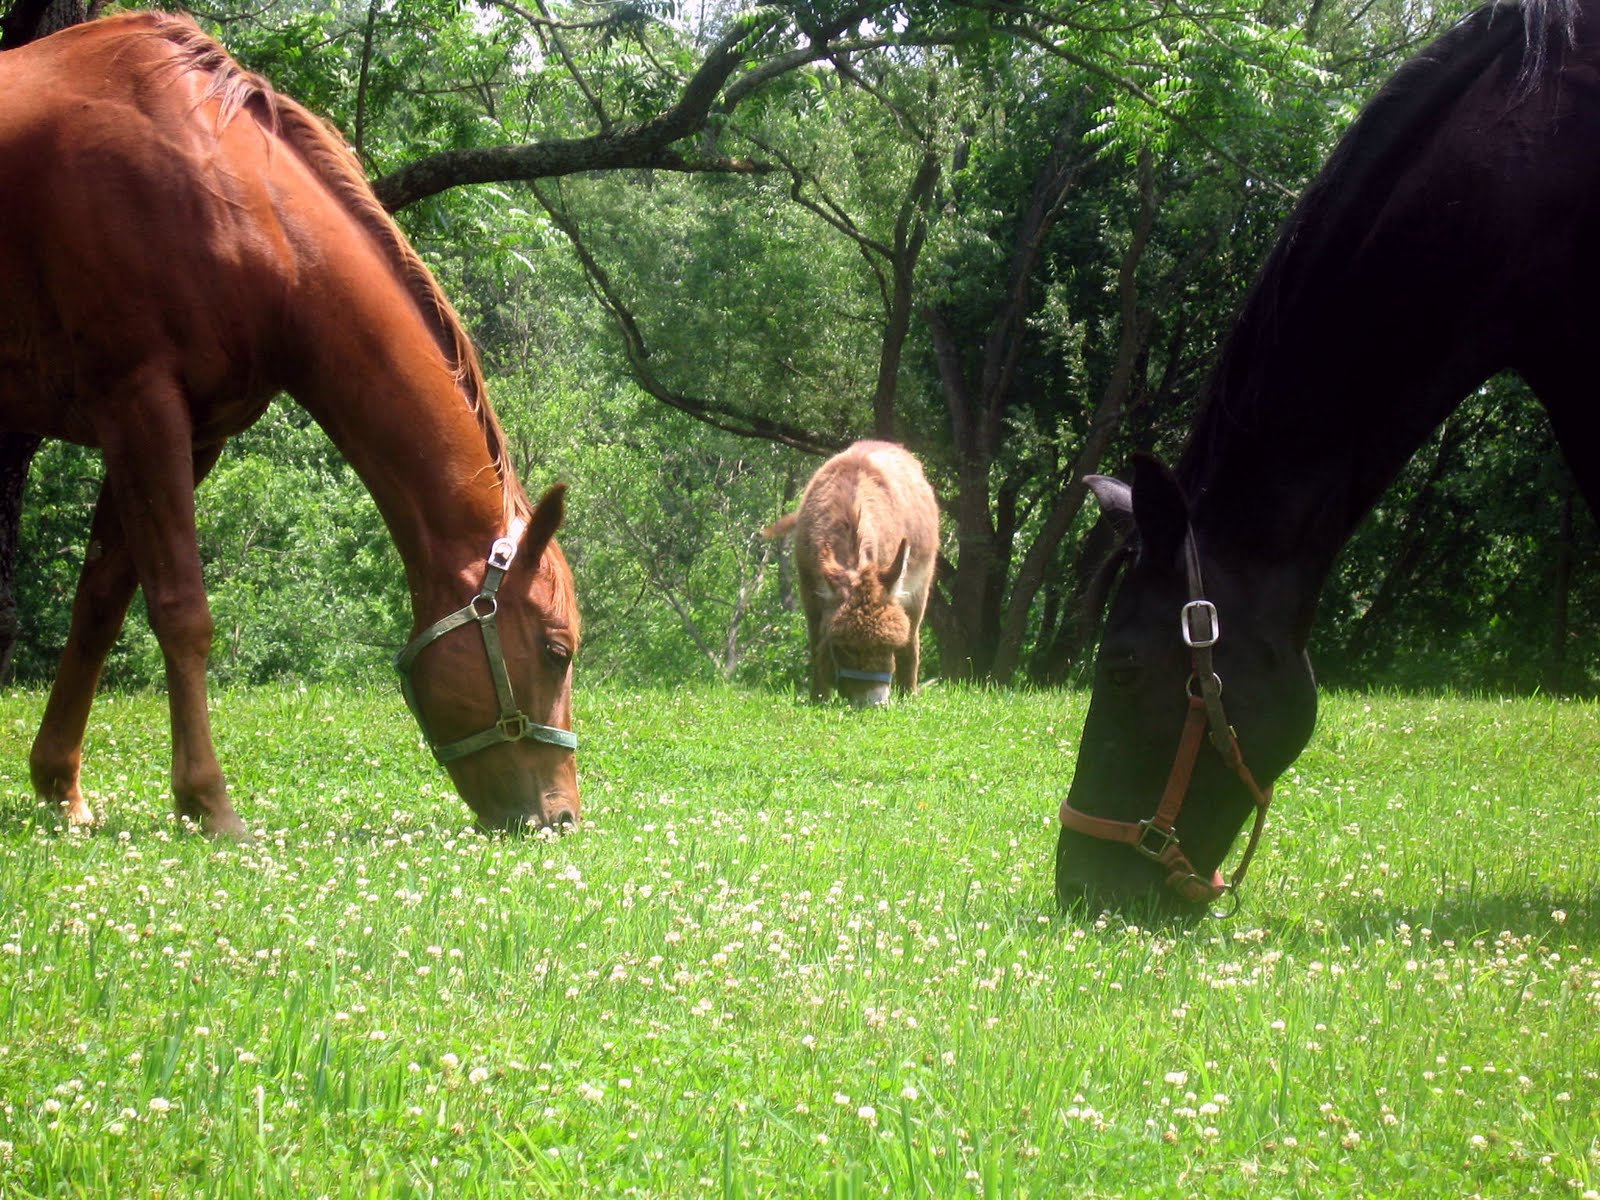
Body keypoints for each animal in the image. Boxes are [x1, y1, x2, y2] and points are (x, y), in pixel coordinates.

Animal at [0, 12, 581, 837]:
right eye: (558, 650)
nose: (560, 817)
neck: (234, 197)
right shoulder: (141, 406)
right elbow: (181, 611)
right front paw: (208, 802)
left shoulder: (187, 435)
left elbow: (101, 604)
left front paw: (59, 785)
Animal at [765, 441, 938, 706]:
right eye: (847, 647)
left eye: (888, 647)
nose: (875, 704)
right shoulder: (810, 592)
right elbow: (817, 643)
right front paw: (819, 698)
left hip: (918, 589)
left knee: (912, 640)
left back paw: (909, 694)